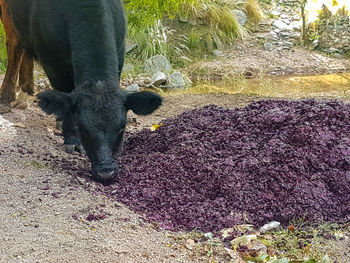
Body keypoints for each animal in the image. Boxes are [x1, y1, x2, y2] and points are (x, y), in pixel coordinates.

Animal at [5, 0, 161, 183]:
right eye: (82, 128)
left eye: (122, 128)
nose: (106, 172)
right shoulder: (53, 63)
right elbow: (65, 98)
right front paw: (72, 139)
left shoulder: (120, 52)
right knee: (14, 46)